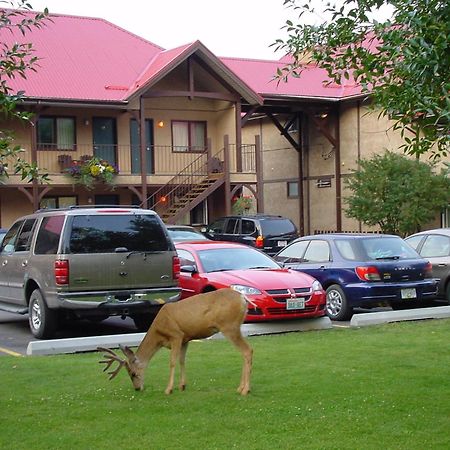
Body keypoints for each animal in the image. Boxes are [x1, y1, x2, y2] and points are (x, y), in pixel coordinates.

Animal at [97, 290, 253, 396]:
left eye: (133, 374)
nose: (137, 388)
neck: (159, 332)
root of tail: (243, 298)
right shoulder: (186, 339)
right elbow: (182, 360)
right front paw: (182, 386)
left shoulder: (176, 335)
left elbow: (172, 362)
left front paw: (169, 389)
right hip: (234, 326)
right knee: (245, 352)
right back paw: (240, 388)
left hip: (229, 326)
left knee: (247, 350)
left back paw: (245, 390)